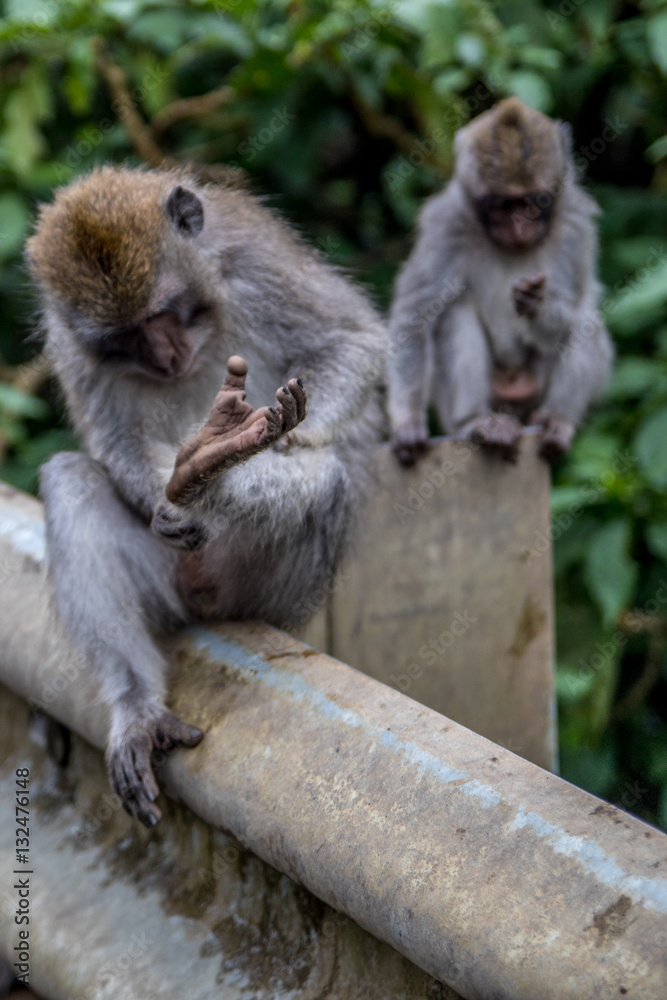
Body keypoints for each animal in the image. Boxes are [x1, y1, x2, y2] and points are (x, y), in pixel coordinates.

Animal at [27, 165, 385, 826]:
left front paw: (288, 437)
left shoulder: (256, 261)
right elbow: (116, 438)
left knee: (322, 479)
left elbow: (353, 340)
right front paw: (162, 498)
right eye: (125, 337)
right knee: (72, 478)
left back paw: (207, 480)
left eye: (166, 311)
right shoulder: (71, 341)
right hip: (170, 584)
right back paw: (137, 704)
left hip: (254, 596)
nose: (167, 357)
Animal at [387, 97, 613, 465]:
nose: (519, 226)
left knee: (584, 320)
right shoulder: (445, 224)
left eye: (534, 201)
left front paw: (536, 305)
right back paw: (477, 423)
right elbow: (416, 313)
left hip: (535, 391)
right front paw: (407, 419)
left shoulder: (576, 225)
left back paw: (556, 419)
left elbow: (575, 299)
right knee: (453, 312)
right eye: (503, 204)